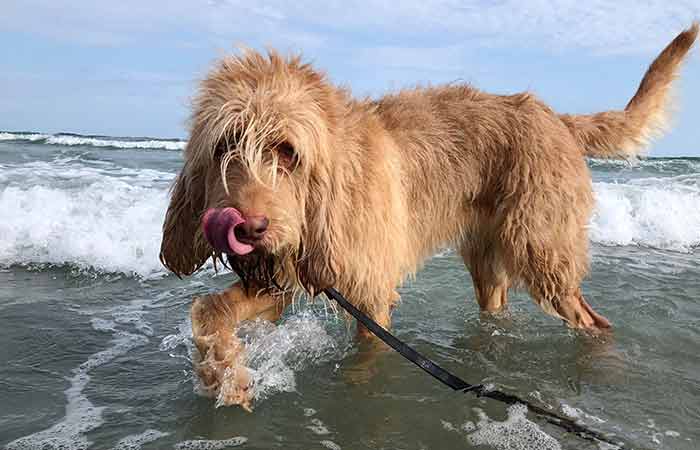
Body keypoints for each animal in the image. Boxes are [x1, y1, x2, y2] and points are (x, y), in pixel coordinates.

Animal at [161, 25, 696, 412]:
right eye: (225, 145)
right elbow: (209, 310)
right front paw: (223, 373)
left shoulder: (368, 293)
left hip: (543, 252)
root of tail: (557, 118)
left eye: (287, 151)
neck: (332, 168)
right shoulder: (288, 271)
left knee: (593, 320)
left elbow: (364, 362)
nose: (247, 228)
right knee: (498, 305)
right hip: (488, 265)